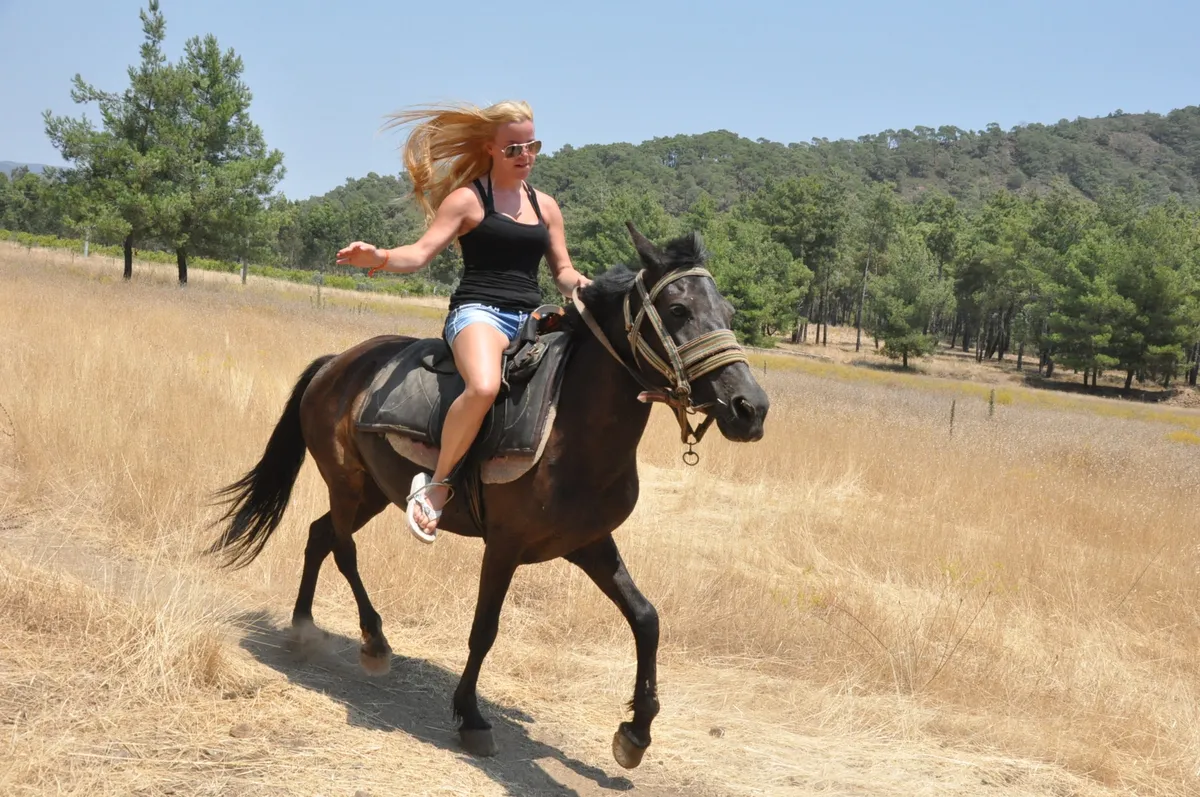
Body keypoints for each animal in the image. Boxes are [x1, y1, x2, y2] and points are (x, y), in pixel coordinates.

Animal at [205, 222, 770, 769]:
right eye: (678, 310)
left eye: (729, 312)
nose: (751, 408)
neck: (570, 425)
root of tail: (337, 362)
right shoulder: (504, 547)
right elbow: (485, 628)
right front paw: (471, 717)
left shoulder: (589, 544)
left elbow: (646, 618)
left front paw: (636, 732)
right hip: (346, 482)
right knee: (343, 549)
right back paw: (373, 641)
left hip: (373, 491)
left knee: (319, 536)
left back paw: (303, 628)